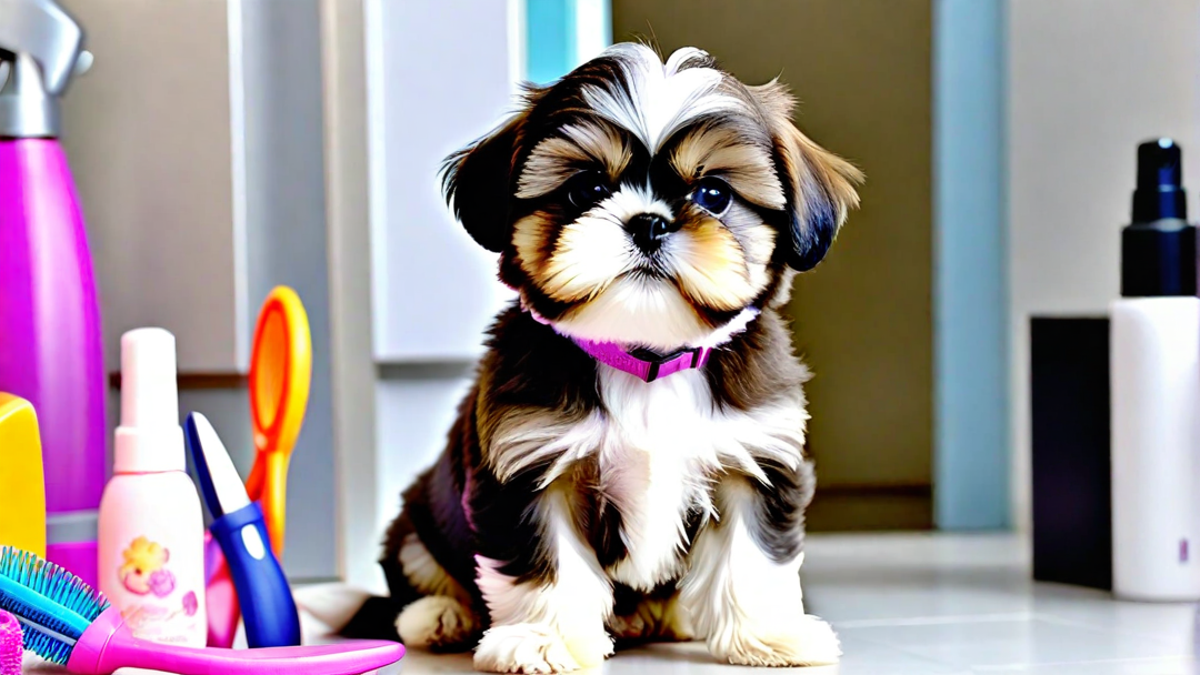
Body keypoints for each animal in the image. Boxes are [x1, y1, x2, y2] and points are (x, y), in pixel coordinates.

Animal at [369, 43, 859, 672]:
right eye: (585, 188)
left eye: (714, 195)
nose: (648, 222)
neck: (644, 359)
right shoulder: (528, 466)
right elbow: (546, 561)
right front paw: (545, 639)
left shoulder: (755, 457)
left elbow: (751, 554)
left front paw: (769, 634)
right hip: (420, 514)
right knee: (418, 564)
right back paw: (439, 615)